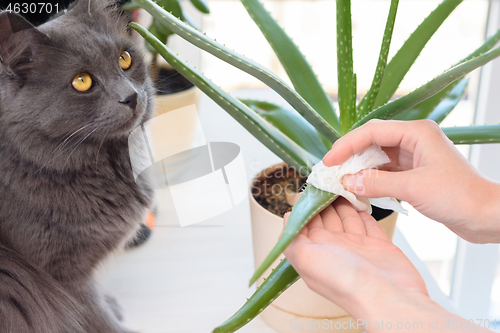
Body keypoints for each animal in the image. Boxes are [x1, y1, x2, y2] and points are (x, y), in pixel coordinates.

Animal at [0, 1, 155, 330]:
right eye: (81, 82)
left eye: (124, 59)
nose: (131, 96)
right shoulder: (61, 274)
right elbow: (94, 314)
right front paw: (116, 322)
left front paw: (113, 305)